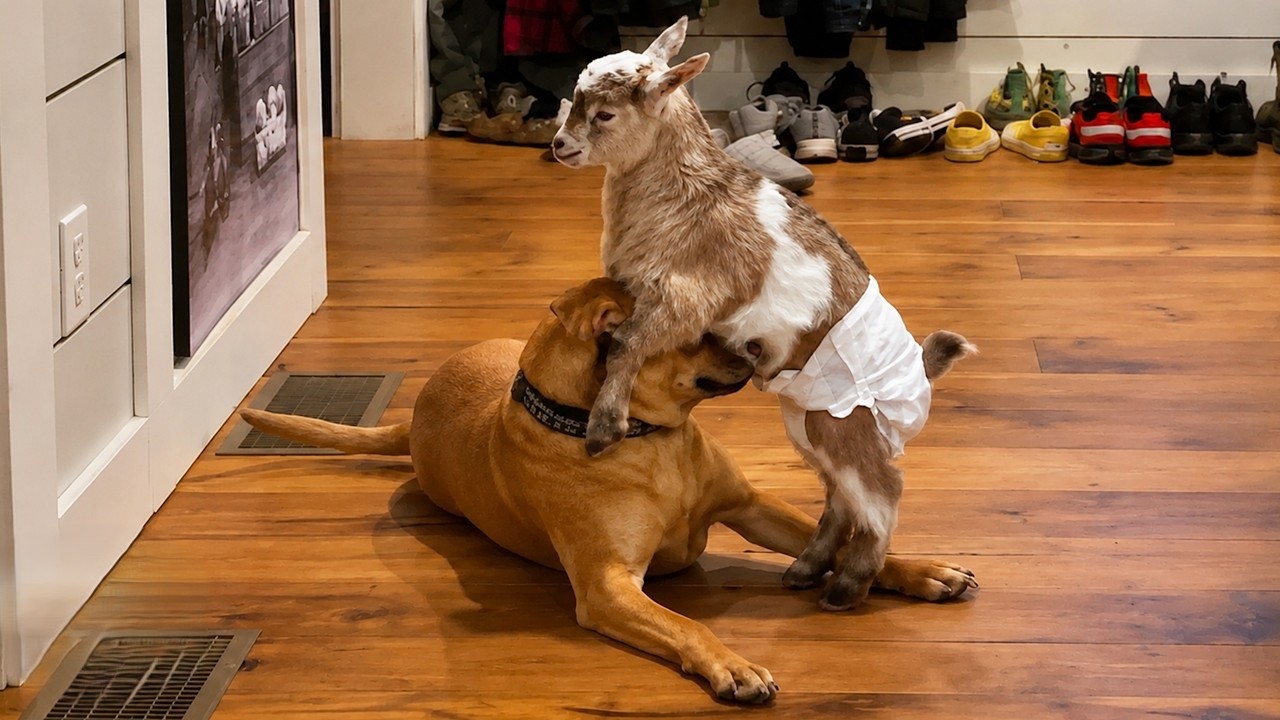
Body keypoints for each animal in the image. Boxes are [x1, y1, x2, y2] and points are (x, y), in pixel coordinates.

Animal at [552, 18, 977, 611]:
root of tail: (921, 367)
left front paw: (602, 431)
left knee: (882, 487)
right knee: (840, 491)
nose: (559, 144)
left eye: (607, 115)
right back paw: (807, 569)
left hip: (846, 422)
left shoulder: (684, 299)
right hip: (809, 421)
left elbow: (628, 344)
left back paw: (847, 588)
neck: (687, 195)